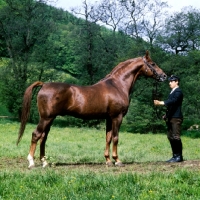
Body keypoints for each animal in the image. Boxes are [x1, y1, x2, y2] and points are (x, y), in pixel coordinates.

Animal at [17, 50, 167, 168]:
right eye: (153, 64)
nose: (164, 76)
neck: (117, 85)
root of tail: (44, 84)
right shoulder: (117, 117)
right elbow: (116, 137)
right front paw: (117, 160)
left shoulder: (109, 118)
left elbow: (108, 138)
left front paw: (108, 161)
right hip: (46, 118)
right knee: (36, 135)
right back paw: (31, 162)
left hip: (50, 119)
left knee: (43, 137)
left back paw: (45, 162)